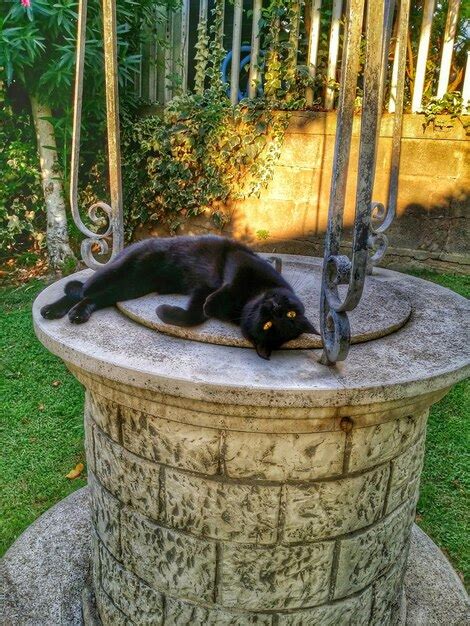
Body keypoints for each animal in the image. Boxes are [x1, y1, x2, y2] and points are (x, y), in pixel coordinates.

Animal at [40, 234, 318, 358]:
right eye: (290, 312)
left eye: (271, 325)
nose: (274, 307)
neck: (245, 302)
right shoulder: (239, 265)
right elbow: (220, 293)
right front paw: (213, 303)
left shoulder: (201, 290)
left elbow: (196, 314)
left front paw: (166, 313)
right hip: (118, 270)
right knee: (82, 289)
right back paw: (54, 309)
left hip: (127, 287)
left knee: (93, 297)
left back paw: (76, 314)